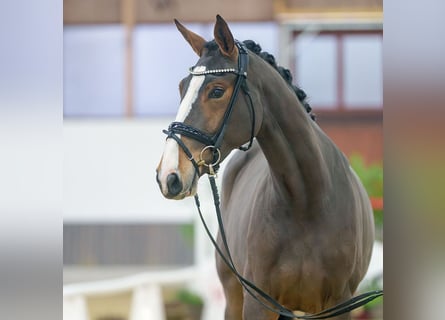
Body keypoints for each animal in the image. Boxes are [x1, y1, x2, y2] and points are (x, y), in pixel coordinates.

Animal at [156, 15, 374, 320]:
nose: (169, 175)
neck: (308, 202)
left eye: (217, 91)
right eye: (181, 88)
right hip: (233, 295)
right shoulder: (257, 302)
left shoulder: (339, 305)